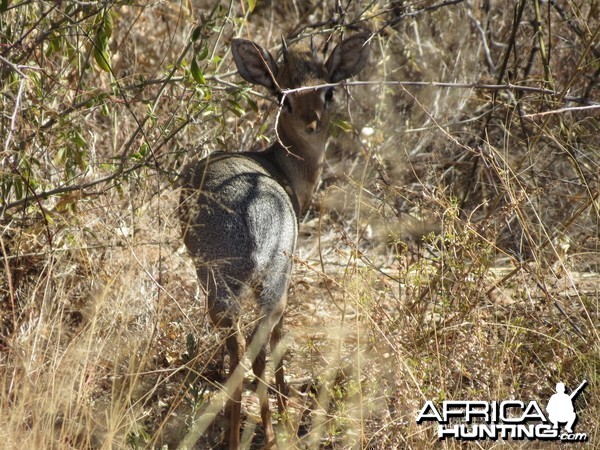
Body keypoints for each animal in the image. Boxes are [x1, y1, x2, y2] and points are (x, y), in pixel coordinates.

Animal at [178, 33, 368, 448]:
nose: (311, 123)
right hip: (271, 285)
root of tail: (246, 218)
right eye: (284, 95)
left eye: (327, 90)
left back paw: (234, 436)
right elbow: (279, 342)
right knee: (260, 345)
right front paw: (283, 411)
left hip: (218, 289)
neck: (284, 168)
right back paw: (270, 429)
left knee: (237, 349)